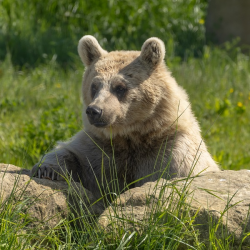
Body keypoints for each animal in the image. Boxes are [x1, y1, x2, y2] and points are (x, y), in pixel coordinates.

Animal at [30, 36, 220, 198]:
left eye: (120, 87)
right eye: (94, 86)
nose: (95, 111)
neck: (132, 136)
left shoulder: (171, 151)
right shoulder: (101, 149)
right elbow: (72, 154)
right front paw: (46, 170)